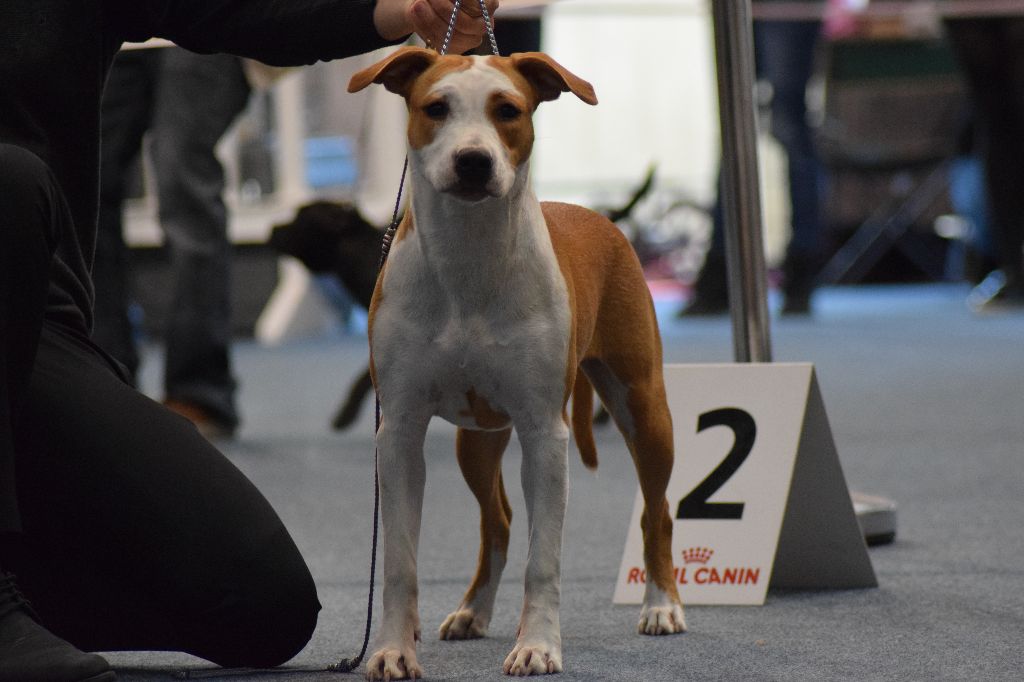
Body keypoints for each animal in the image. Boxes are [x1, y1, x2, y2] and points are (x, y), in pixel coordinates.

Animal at [348, 45, 684, 675]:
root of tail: (594, 213)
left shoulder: (542, 432)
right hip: (476, 438)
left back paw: (661, 606)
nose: (474, 161)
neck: (469, 260)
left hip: (645, 406)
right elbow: (400, 562)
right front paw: (391, 651)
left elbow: (543, 560)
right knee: (497, 521)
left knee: (658, 510)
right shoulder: (399, 430)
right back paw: (471, 612)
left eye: (508, 110)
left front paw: (537, 647)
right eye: (435, 107)